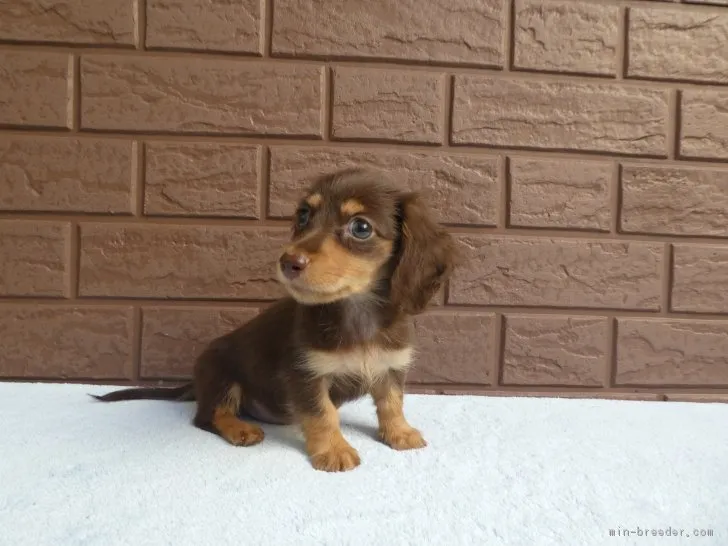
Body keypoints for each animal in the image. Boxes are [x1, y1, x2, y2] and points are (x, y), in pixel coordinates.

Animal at [93, 168, 456, 470]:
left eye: (361, 227)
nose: (287, 261)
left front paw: (400, 433)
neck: (357, 312)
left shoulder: (392, 366)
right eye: (304, 215)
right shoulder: (305, 374)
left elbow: (392, 403)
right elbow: (323, 414)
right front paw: (334, 450)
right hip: (221, 372)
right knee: (209, 415)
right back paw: (240, 428)